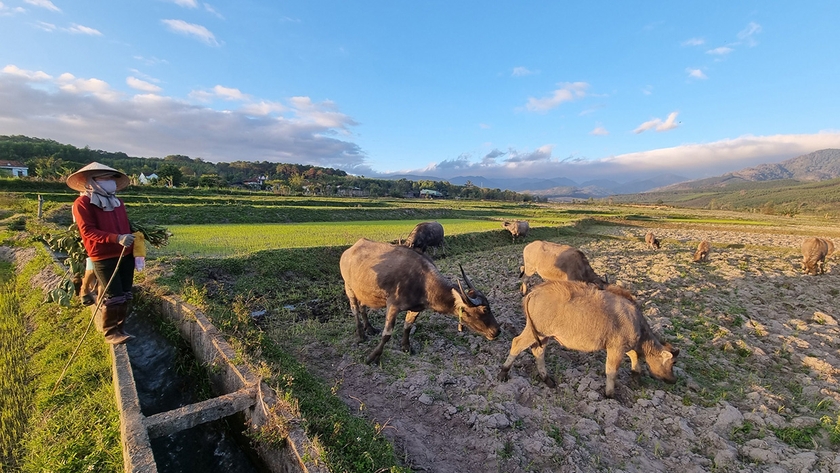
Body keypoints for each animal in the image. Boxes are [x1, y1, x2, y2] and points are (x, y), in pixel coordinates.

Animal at [340, 238, 498, 364]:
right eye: (485, 309)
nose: (497, 331)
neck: (423, 283)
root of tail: (349, 250)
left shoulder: (416, 308)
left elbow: (408, 327)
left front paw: (406, 347)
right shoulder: (393, 306)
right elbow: (387, 334)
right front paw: (372, 357)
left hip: (363, 292)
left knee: (362, 307)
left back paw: (370, 328)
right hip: (349, 288)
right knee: (355, 310)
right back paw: (361, 335)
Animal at [496, 280, 680, 398]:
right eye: (672, 363)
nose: (673, 380)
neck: (637, 321)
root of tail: (534, 292)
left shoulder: (624, 347)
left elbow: (635, 360)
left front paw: (636, 378)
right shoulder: (616, 349)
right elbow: (612, 372)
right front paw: (610, 394)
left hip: (544, 335)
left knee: (538, 351)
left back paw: (546, 378)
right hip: (537, 332)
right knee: (517, 343)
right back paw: (503, 372)